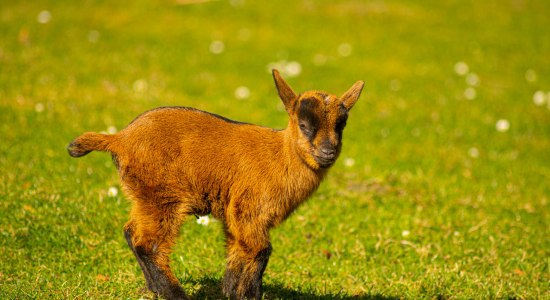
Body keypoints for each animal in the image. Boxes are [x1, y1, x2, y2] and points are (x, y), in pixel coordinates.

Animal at [67, 69, 364, 298]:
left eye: (341, 126)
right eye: (303, 125)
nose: (328, 152)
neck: (280, 157)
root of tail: (119, 138)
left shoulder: (236, 214)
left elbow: (237, 251)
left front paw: (230, 291)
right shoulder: (250, 209)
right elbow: (261, 250)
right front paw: (248, 294)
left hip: (142, 195)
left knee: (130, 231)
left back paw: (154, 289)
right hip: (162, 195)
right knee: (147, 243)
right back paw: (175, 294)